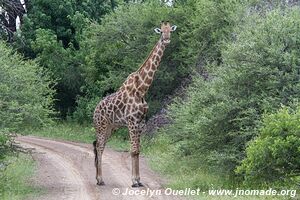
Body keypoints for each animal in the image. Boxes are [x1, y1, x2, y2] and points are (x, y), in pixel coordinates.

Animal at [92, 21, 176, 187]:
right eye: (161, 32)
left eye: (170, 30)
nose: (167, 39)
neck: (142, 89)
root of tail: (95, 110)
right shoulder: (131, 122)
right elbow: (133, 150)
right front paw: (133, 181)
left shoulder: (140, 122)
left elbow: (137, 151)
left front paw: (139, 180)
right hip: (101, 126)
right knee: (98, 147)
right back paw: (100, 179)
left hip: (110, 127)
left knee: (101, 147)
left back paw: (100, 179)